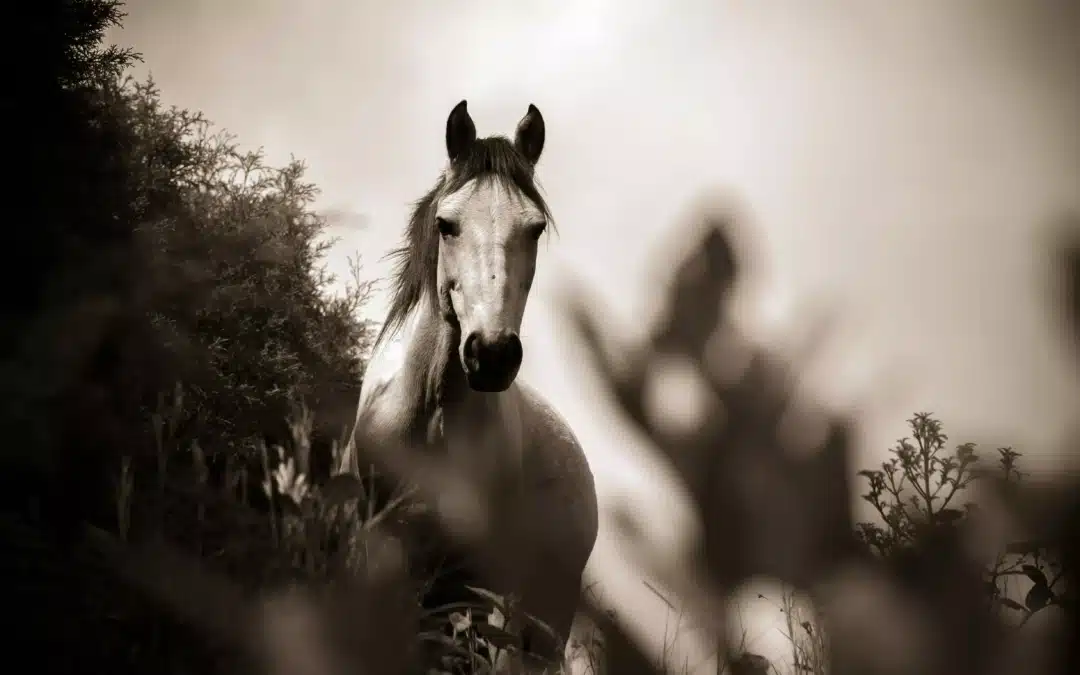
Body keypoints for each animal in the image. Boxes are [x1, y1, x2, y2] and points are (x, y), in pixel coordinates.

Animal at [338, 100, 599, 667]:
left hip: (536, 626)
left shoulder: (481, 589)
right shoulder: (379, 556)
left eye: (535, 229)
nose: (492, 354)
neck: (429, 417)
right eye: (447, 224)